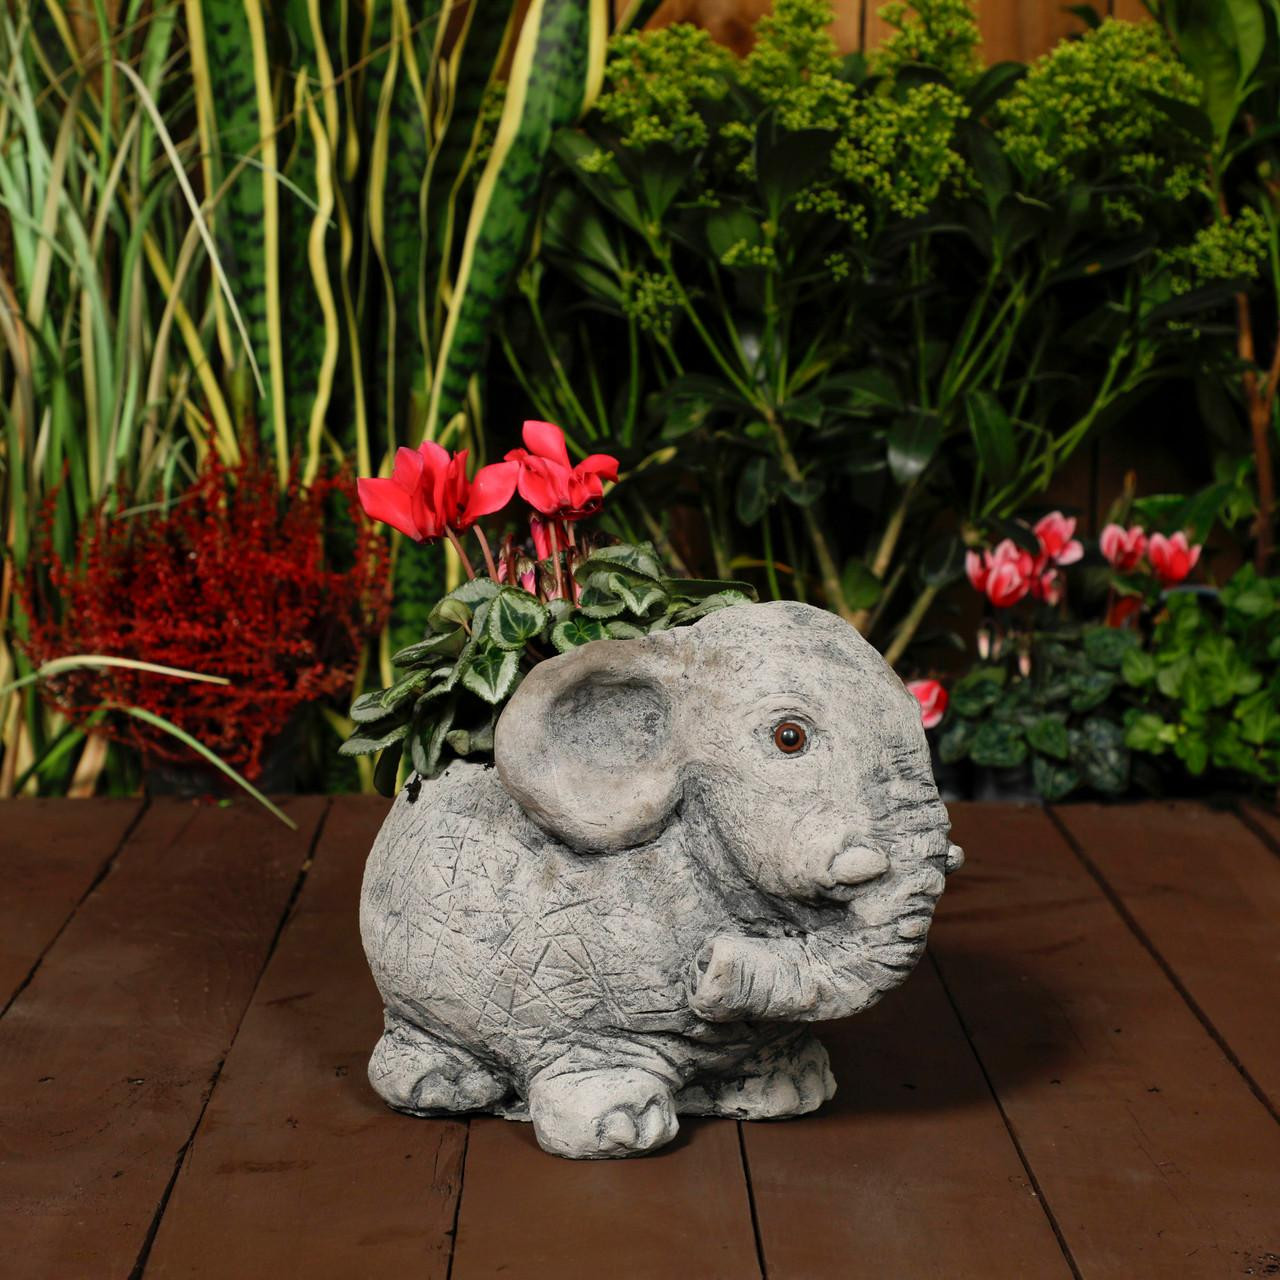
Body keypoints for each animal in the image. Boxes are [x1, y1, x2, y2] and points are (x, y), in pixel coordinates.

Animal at [360, 600, 963, 1159]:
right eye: (789, 737)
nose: (706, 965)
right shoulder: (556, 984)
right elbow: (587, 1053)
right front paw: (619, 1129)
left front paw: (790, 1089)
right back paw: (438, 1088)